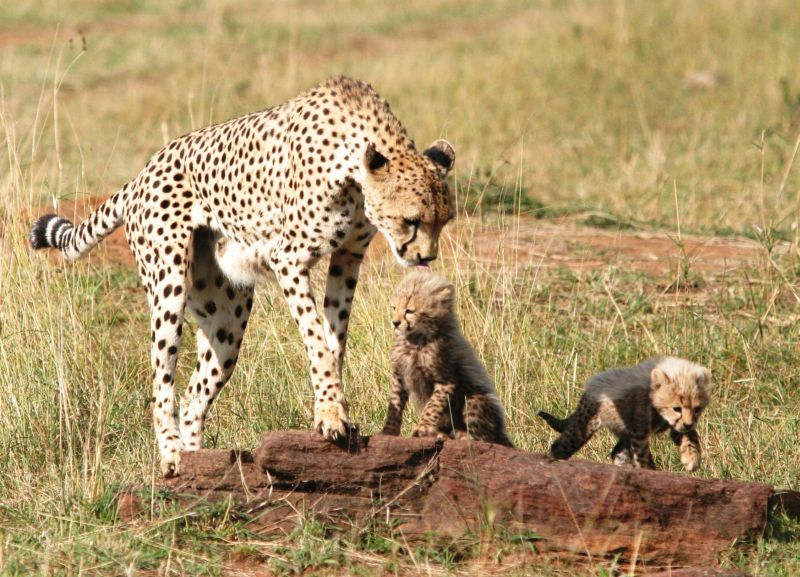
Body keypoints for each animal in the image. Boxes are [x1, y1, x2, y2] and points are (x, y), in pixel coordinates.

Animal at [28, 75, 454, 472]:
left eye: (443, 220)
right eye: (412, 220)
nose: (426, 256)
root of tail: (142, 173)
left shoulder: (348, 257)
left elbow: (334, 341)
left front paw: (330, 412)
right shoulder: (289, 258)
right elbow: (316, 340)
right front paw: (332, 413)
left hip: (226, 316)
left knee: (194, 395)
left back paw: (198, 460)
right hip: (168, 285)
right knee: (161, 386)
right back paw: (172, 456)